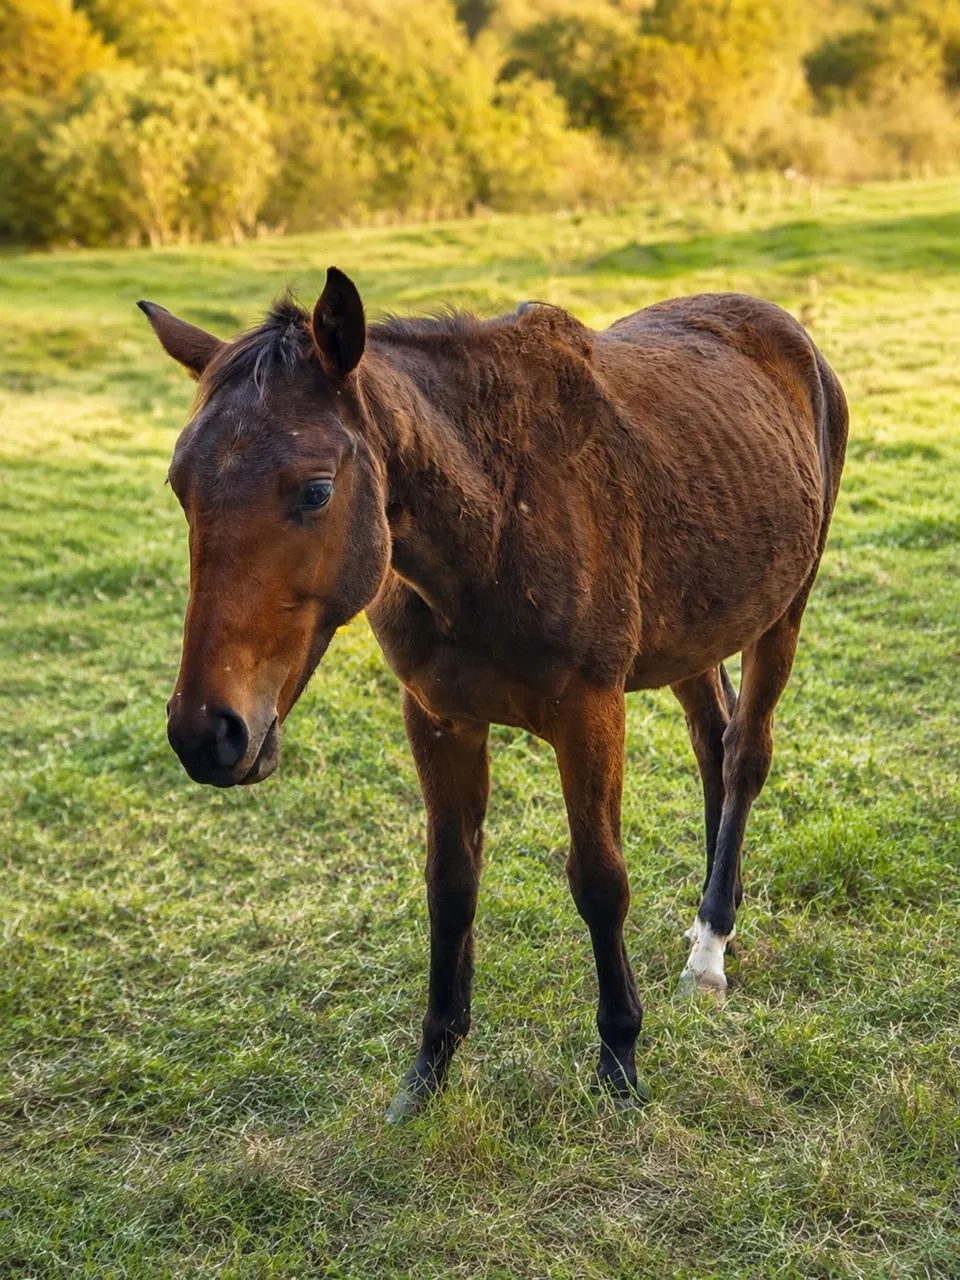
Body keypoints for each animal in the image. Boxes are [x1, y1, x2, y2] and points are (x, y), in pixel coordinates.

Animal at [139, 269, 847, 1119]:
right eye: (181, 486)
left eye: (314, 491)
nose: (208, 732)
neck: (496, 521)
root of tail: (785, 329)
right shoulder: (438, 718)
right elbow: (451, 884)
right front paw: (430, 1069)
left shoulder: (589, 714)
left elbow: (600, 881)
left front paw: (619, 1061)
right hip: (698, 628)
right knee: (713, 745)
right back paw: (718, 913)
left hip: (784, 610)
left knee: (743, 757)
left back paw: (710, 942)